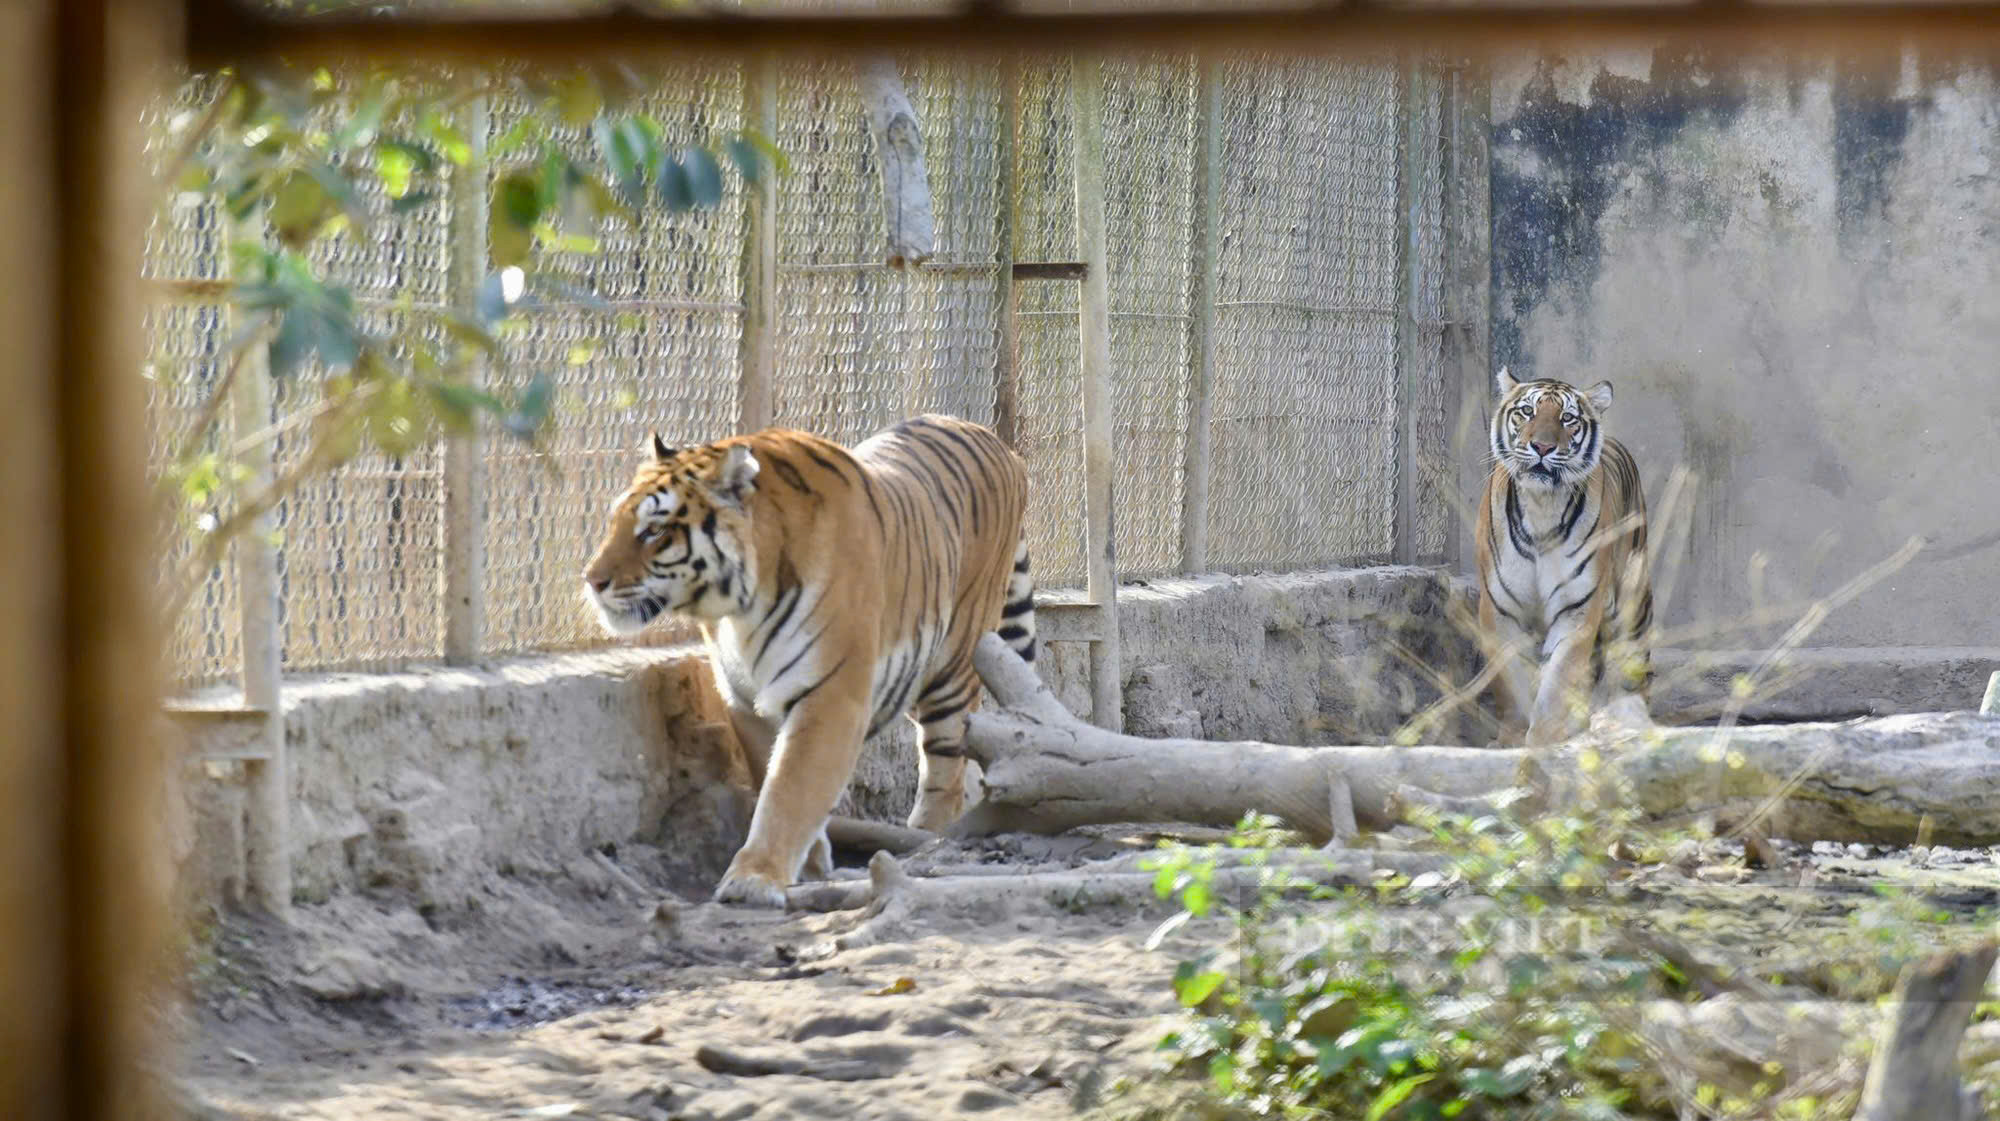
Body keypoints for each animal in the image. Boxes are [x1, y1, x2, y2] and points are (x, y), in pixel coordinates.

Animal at [584, 416, 1032, 904]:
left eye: (655, 531)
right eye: (614, 522)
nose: (591, 580)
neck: (739, 611)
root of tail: (1001, 445)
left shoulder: (830, 694)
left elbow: (791, 786)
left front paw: (754, 877)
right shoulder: (746, 701)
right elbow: (772, 776)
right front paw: (810, 865)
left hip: (953, 669)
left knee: (944, 768)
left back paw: (927, 842)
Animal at [1480, 368, 1648, 748]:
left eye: (1567, 418)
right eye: (1526, 412)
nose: (1542, 447)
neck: (1541, 506)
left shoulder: (1577, 608)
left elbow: (1559, 678)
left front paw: (1545, 737)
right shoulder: (1500, 611)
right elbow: (1510, 682)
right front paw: (1512, 737)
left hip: (1634, 604)